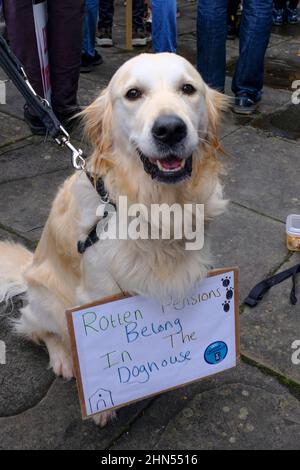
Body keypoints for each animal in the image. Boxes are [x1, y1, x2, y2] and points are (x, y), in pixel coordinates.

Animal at [0, 52, 227, 426]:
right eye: (133, 93)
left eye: (188, 89)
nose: (170, 129)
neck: (156, 205)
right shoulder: (96, 293)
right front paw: (104, 403)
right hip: (51, 302)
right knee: (38, 329)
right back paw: (62, 358)